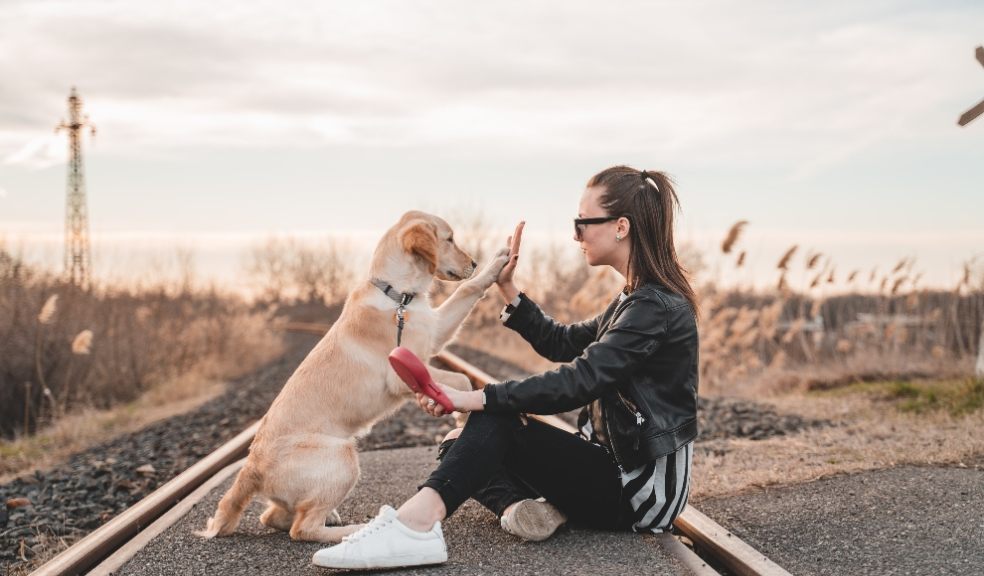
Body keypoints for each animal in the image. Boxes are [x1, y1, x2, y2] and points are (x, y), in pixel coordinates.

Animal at [197, 209, 512, 544]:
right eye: (449, 239)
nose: (475, 262)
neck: (398, 297)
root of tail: (251, 467)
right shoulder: (402, 372)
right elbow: (462, 380)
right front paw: (462, 417)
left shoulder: (435, 331)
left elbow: (468, 289)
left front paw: (497, 263)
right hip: (343, 455)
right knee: (302, 528)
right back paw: (354, 530)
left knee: (272, 516)